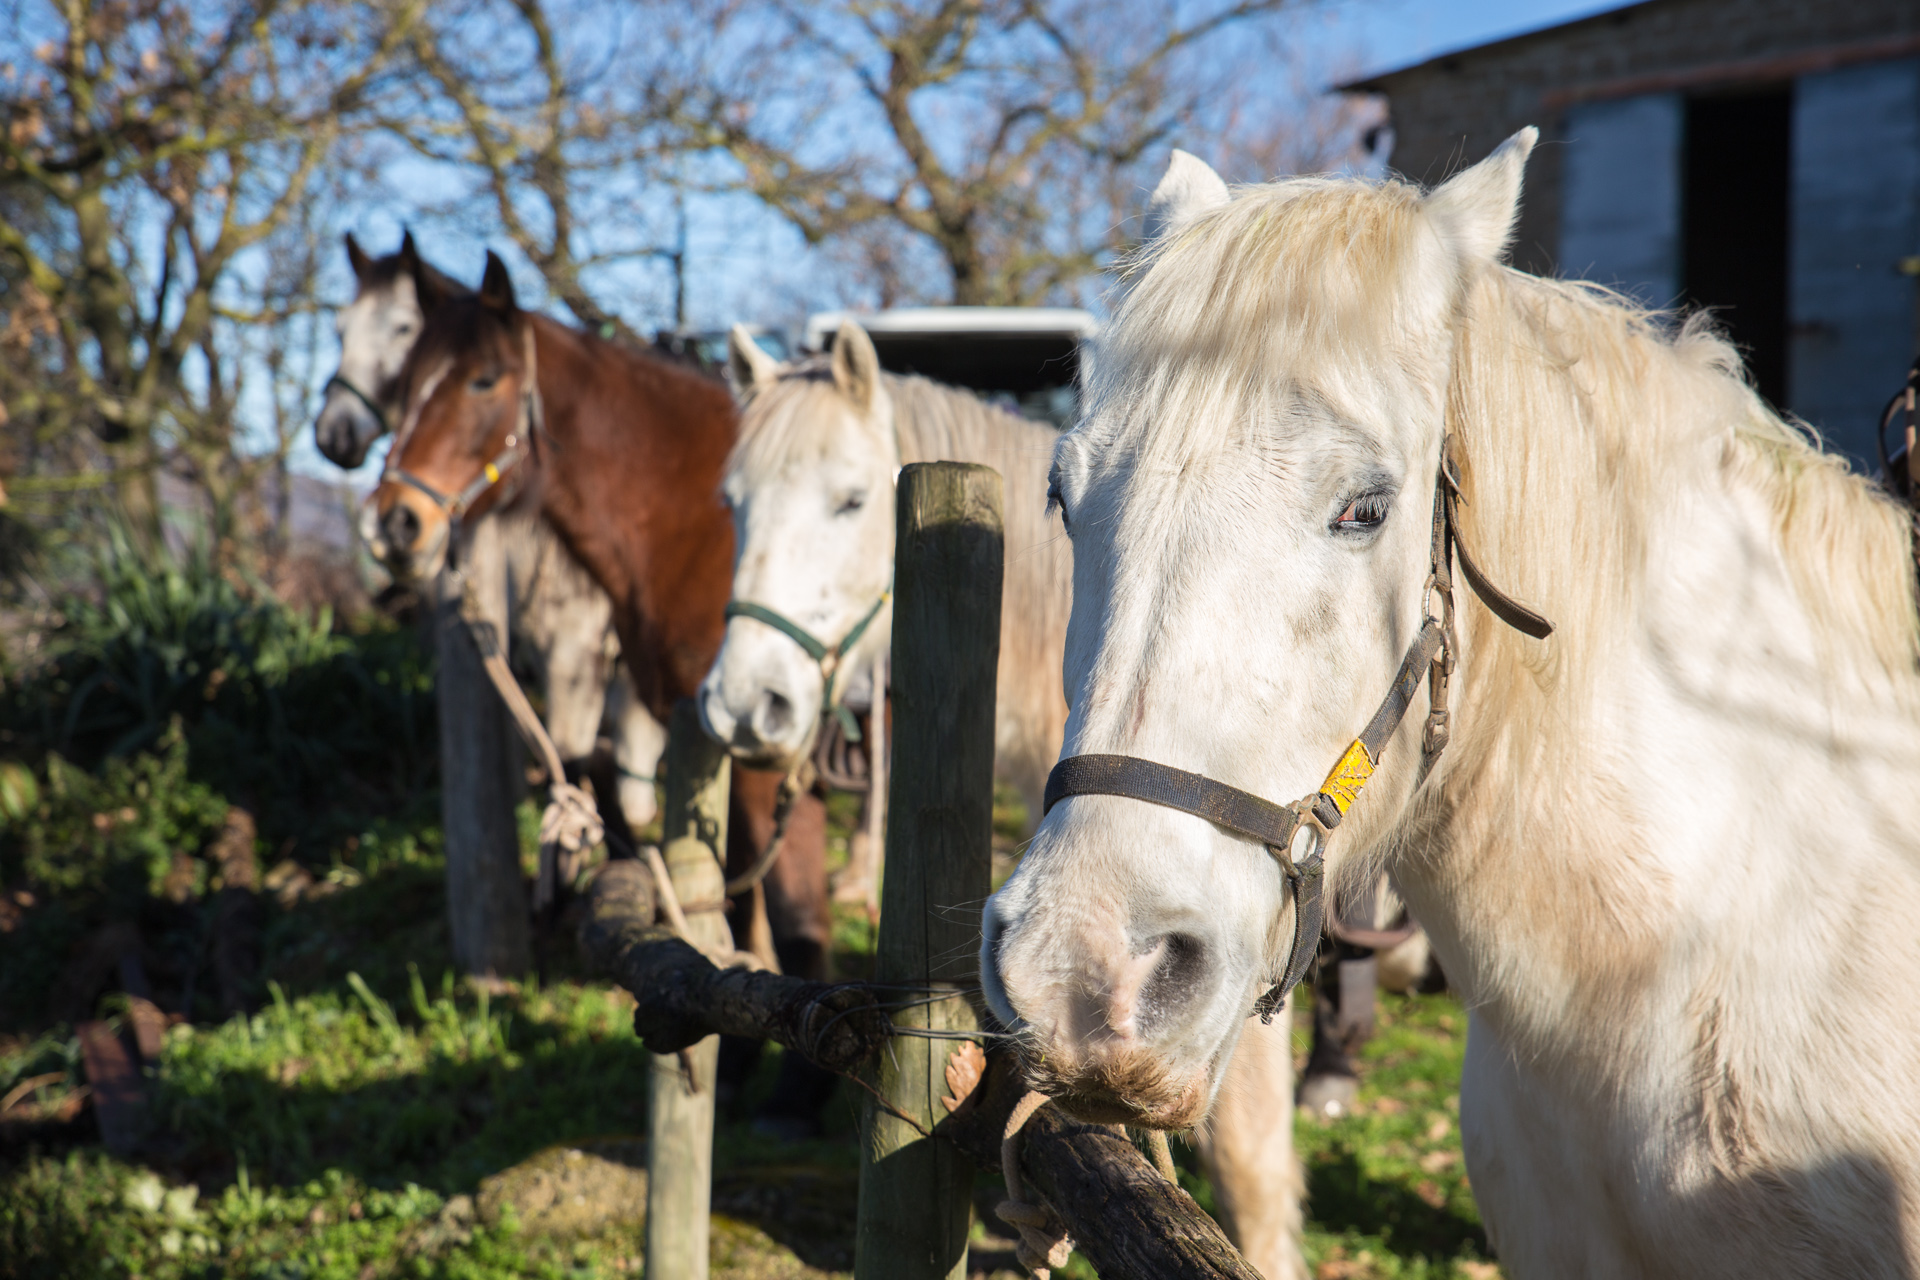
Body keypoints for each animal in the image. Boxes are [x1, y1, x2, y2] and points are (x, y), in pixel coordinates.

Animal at [366, 249, 833, 1113]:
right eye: (406, 383)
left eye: (483, 381)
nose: (393, 524)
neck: (704, 528)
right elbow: (732, 896)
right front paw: (737, 1054)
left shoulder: (772, 754)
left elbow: (793, 912)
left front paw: (799, 1093)